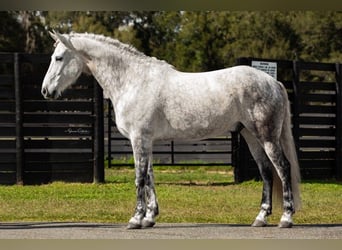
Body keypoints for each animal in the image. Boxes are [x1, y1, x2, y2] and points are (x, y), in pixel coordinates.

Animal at [41, 31, 300, 230]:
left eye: (59, 57)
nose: (45, 91)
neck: (133, 81)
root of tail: (273, 82)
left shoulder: (138, 139)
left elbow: (139, 178)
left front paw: (135, 219)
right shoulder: (147, 141)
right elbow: (149, 177)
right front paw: (149, 218)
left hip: (266, 136)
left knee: (283, 168)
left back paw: (286, 218)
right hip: (250, 136)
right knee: (266, 172)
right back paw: (260, 218)